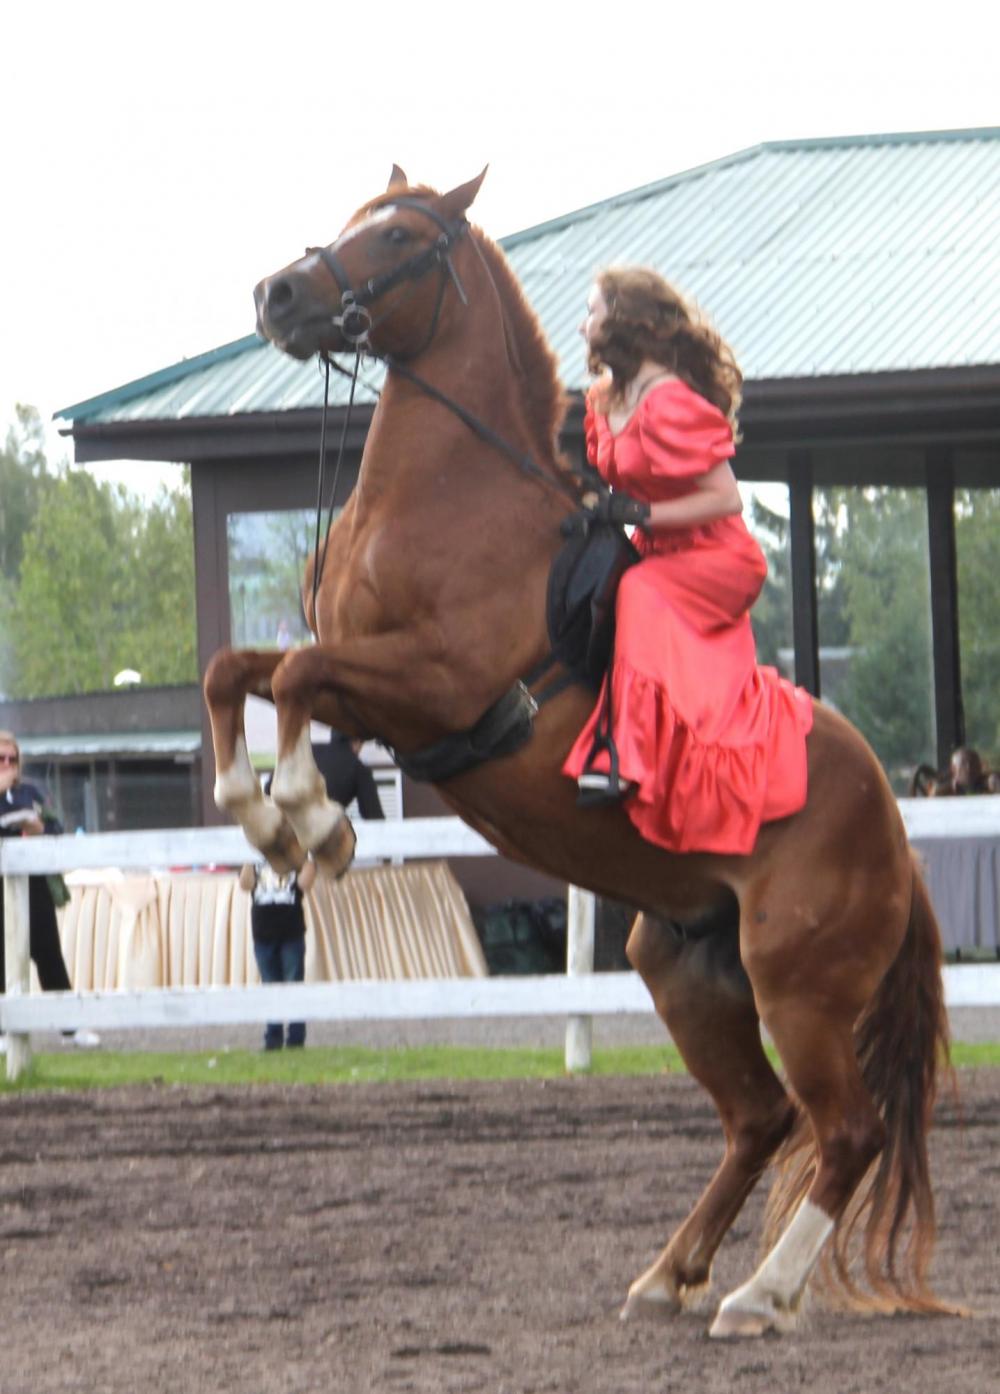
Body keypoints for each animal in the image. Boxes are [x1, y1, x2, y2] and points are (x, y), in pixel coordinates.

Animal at [204, 166, 955, 1339]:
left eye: (401, 237)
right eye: (350, 224)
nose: (279, 293)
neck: (447, 497)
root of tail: (892, 831)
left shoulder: (432, 687)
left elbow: (290, 679)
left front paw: (311, 820)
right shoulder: (366, 675)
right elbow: (235, 670)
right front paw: (258, 804)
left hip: (799, 987)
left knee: (845, 1129)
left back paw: (757, 1293)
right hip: (685, 968)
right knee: (761, 1117)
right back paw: (670, 1273)